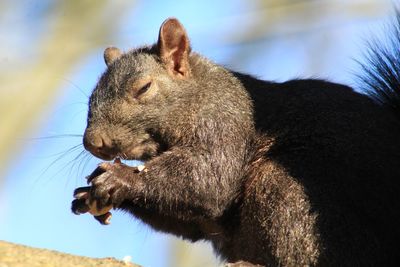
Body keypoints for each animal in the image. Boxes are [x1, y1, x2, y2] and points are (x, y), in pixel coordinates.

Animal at [71, 14, 400, 267]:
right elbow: (191, 219)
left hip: (288, 191)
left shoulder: (226, 122)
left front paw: (120, 177)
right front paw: (88, 194)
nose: (92, 142)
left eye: (144, 88)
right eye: (90, 97)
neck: (198, 95)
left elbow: (211, 180)